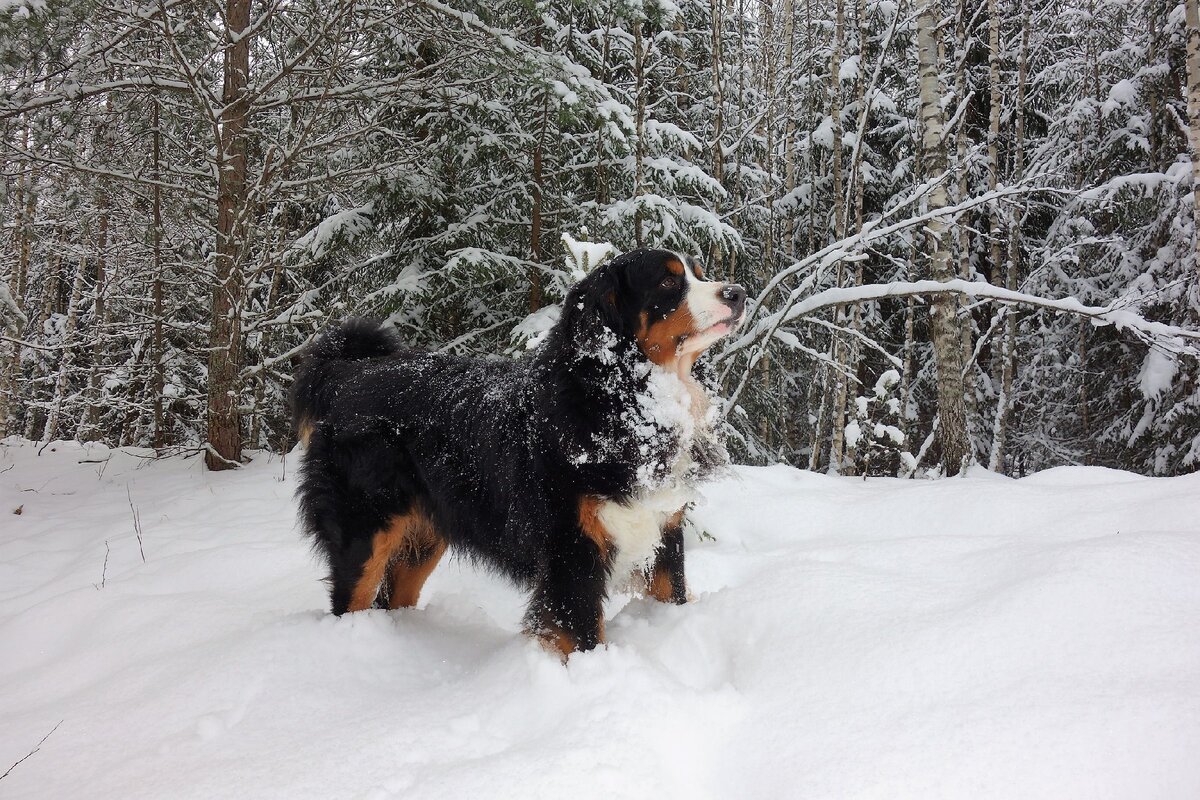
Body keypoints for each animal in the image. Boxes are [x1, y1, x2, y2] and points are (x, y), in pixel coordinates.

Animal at [289, 248, 739, 657]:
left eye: (700, 273)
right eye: (667, 281)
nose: (737, 292)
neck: (619, 400)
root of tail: (351, 372)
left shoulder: (663, 528)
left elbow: (670, 590)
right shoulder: (572, 548)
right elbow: (583, 632)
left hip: (426, 533)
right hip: (365, 528)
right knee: (354, 595)